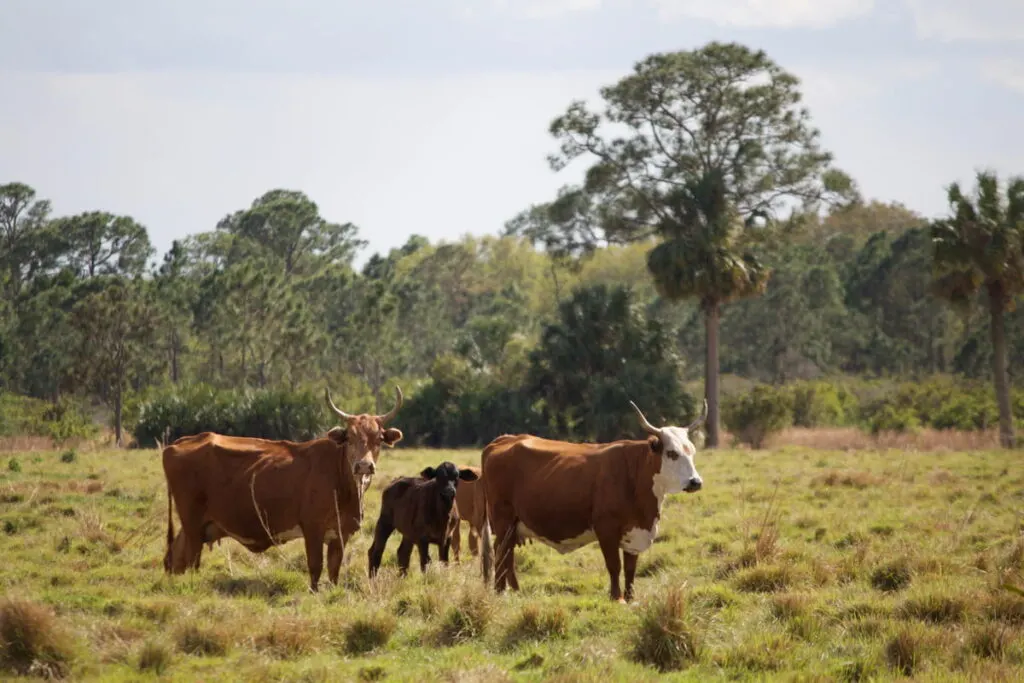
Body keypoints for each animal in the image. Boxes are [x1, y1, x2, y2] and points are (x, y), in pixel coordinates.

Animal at [163, 387, 403, 589]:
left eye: (378, 438)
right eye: (350, 437)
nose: (364, 465)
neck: (343, 485)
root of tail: (178, 443)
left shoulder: (341, 533)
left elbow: (334, 570)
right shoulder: (312, 529)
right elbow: (315, 567)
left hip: (197, 526)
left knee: (175, 559)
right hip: (193, 525)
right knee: (190, 560)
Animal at [477, 401, 704, 602]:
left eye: (691, 451)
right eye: (672, 453)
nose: (696, 482)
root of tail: (504, 440)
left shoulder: (635, 531)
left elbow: (630, 568)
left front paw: (631, 598)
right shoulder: (606, 529)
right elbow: (614, 565)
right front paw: (617, 597)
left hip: (513, 525)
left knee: (508, 555)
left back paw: (514, 591)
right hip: (503, 520)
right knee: (501, 553)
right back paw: (500, 592)